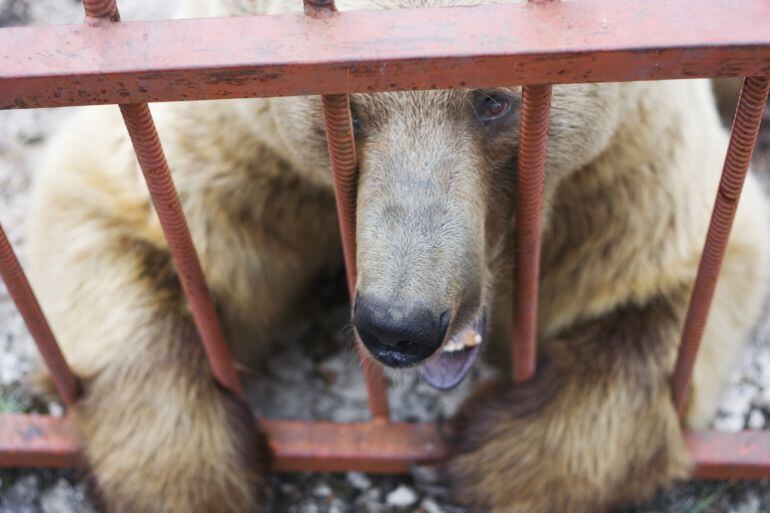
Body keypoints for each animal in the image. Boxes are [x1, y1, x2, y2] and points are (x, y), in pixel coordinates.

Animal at [24, 1, 768, 512]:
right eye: (345, 110)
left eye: (494, 101)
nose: (399, 325)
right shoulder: (238, 143)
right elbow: (118, 214)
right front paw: (194, 473)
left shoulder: (623, 171)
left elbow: (687, 279)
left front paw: (470, 455)